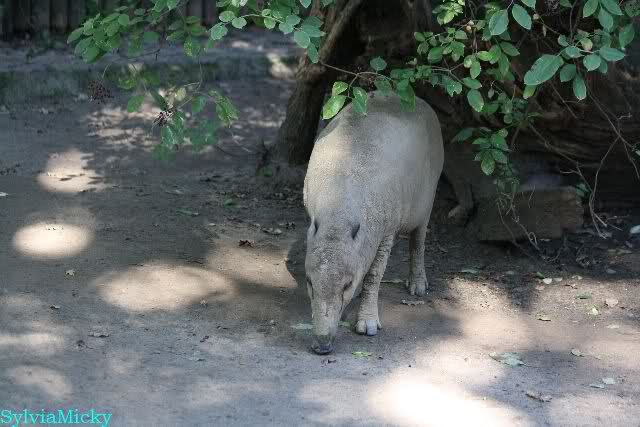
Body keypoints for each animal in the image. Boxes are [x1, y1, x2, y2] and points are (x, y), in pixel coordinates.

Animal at [303, 91, 444, 354]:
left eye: (347, 285)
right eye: (309, 282)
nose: (322, 344)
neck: (339, 212)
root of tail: (420, 100)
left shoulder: (386, 230)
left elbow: (375, 275)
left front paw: (367, 323)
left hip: (427, 198)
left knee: (418, 240)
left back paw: (418, 284)